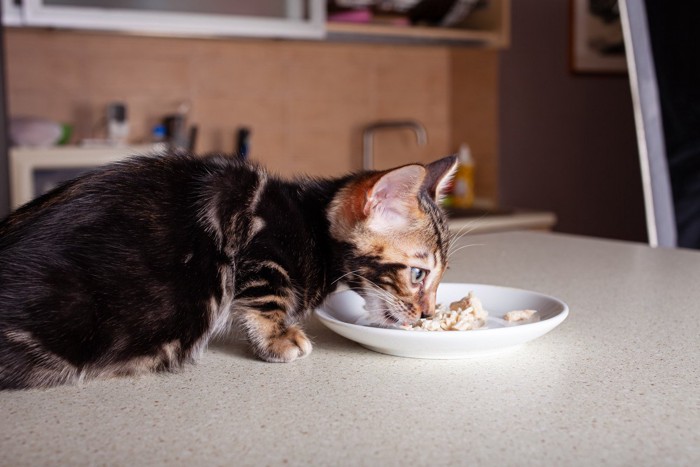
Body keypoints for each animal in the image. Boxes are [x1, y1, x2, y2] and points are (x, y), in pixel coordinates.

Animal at [0, 153, 456, 388]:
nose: (429, 313)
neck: (309, 220)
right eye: (419, 274)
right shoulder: (262, 249)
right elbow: (266, 296)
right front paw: (277, 339)